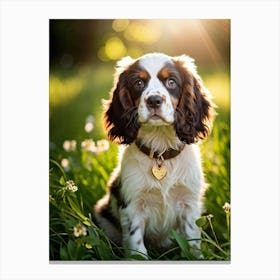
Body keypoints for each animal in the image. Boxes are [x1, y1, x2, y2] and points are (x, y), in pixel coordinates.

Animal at [95, 52, 215, 258]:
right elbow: (137, 247)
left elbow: (192, 240)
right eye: (138, 83)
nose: (154, 100)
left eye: (171, 82)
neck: (161, 151)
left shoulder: (189, 203)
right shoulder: (132, 205)